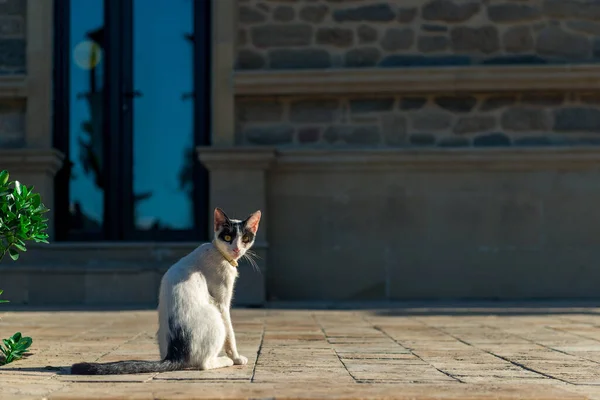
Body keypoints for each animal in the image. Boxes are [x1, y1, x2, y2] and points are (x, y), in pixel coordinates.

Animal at [69, 208, 262, 374]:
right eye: (228, 236)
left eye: (245, 238)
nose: (236, 249)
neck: (218, 253)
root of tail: (174, 354)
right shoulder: (221, 303)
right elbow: (231, 334)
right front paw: (236, 358)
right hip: (215, 317)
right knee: (204, 363)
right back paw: (224, 360)